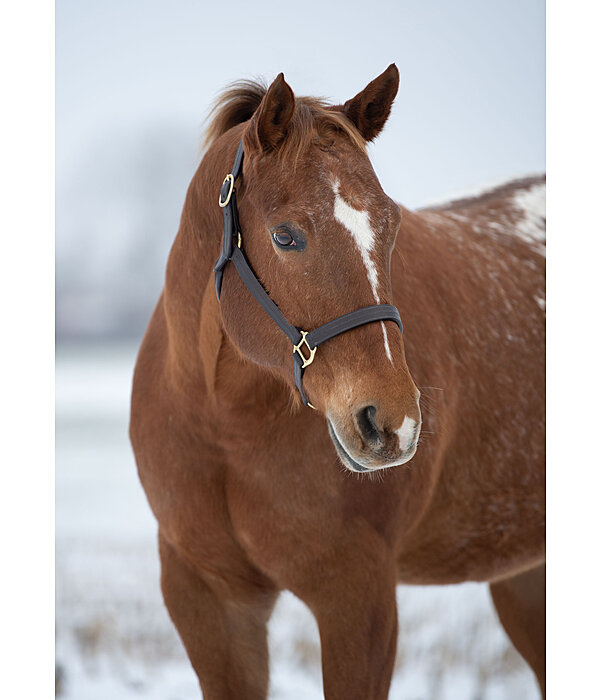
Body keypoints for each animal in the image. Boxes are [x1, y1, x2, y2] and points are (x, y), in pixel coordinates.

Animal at [130, 65, 544, 700]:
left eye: (391, 225)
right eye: (285, 236)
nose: (391, 421)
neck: (225, 427)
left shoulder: (359, 600)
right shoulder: (209, 601)